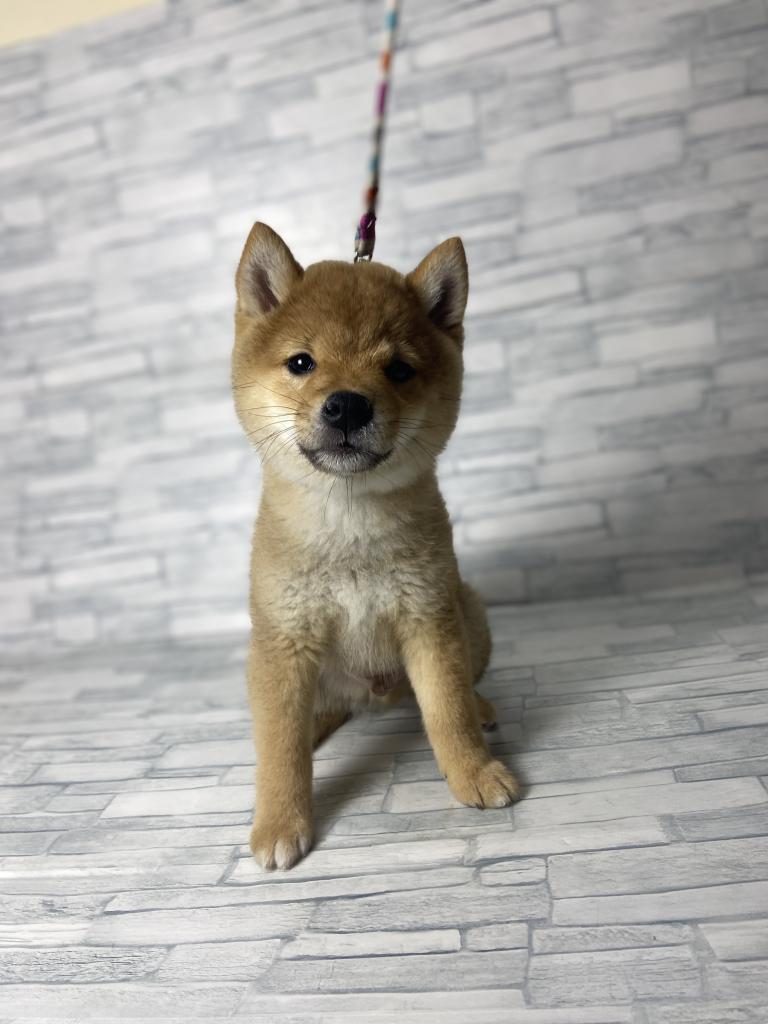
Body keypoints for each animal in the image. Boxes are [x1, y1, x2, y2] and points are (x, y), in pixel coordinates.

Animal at [231, 222, 519, 870]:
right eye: (301, 362)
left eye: (399, 370)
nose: (347, 404)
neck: (350, 526)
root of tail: (376, 697)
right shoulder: (285, 642)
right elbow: (280, 746)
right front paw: (279, 821)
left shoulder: (431, 621)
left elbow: (446, 710)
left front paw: (473, 773)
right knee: (311, 714)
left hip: (469, 610)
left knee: (450, 692)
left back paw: (484, 708)